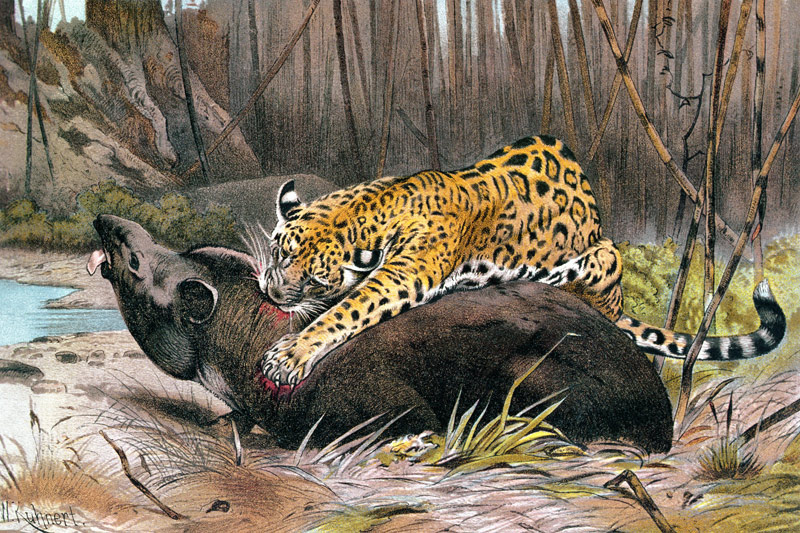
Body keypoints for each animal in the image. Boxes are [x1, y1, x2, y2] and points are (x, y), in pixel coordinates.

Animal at [250, 135, 785, 387]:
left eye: (314, 280)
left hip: (604, 256)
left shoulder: (406, 274)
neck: (375, 202)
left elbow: (349, 309)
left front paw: (291, 354)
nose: (270, 294)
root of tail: (618, 307)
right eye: (279, 252)